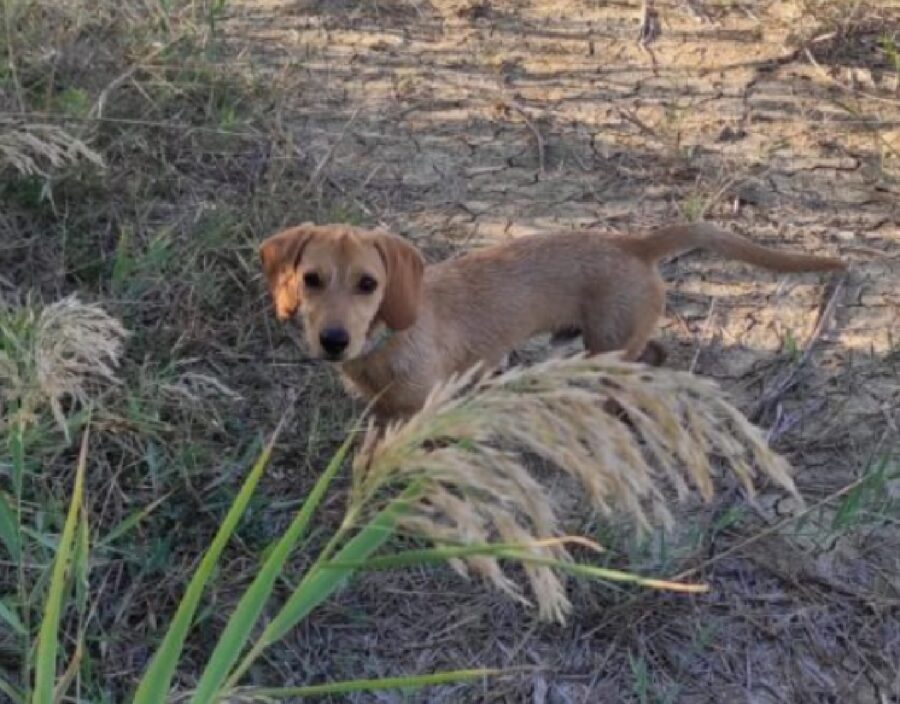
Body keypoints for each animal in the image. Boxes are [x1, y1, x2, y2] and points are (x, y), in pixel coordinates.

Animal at [258, 223, 844, 418]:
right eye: (310, 279)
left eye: (368, 284)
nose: (334, 340)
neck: (386, 343)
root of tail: (634, 244)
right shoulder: (382, 412)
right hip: (615, 340)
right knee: (656, 353)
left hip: (605, 344)